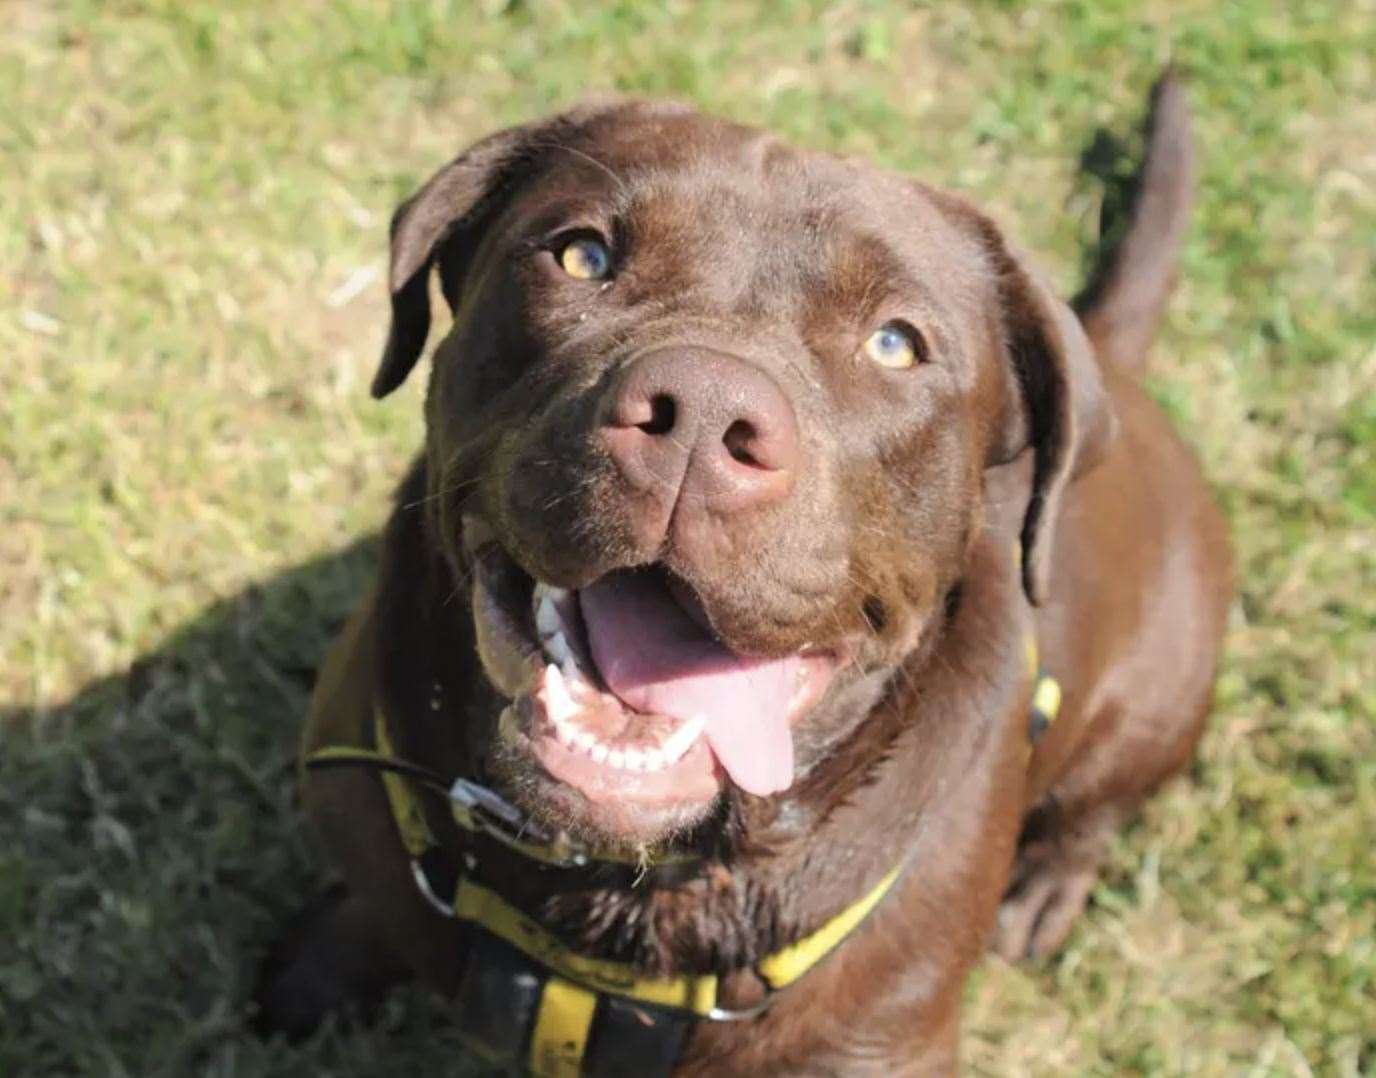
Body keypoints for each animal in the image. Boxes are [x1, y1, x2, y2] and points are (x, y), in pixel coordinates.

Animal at [260, 71, 1238, 1073]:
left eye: (896, 343)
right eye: (582, 255)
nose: (700, 413)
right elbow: (378, 906)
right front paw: (323, 960)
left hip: (1156, 699)